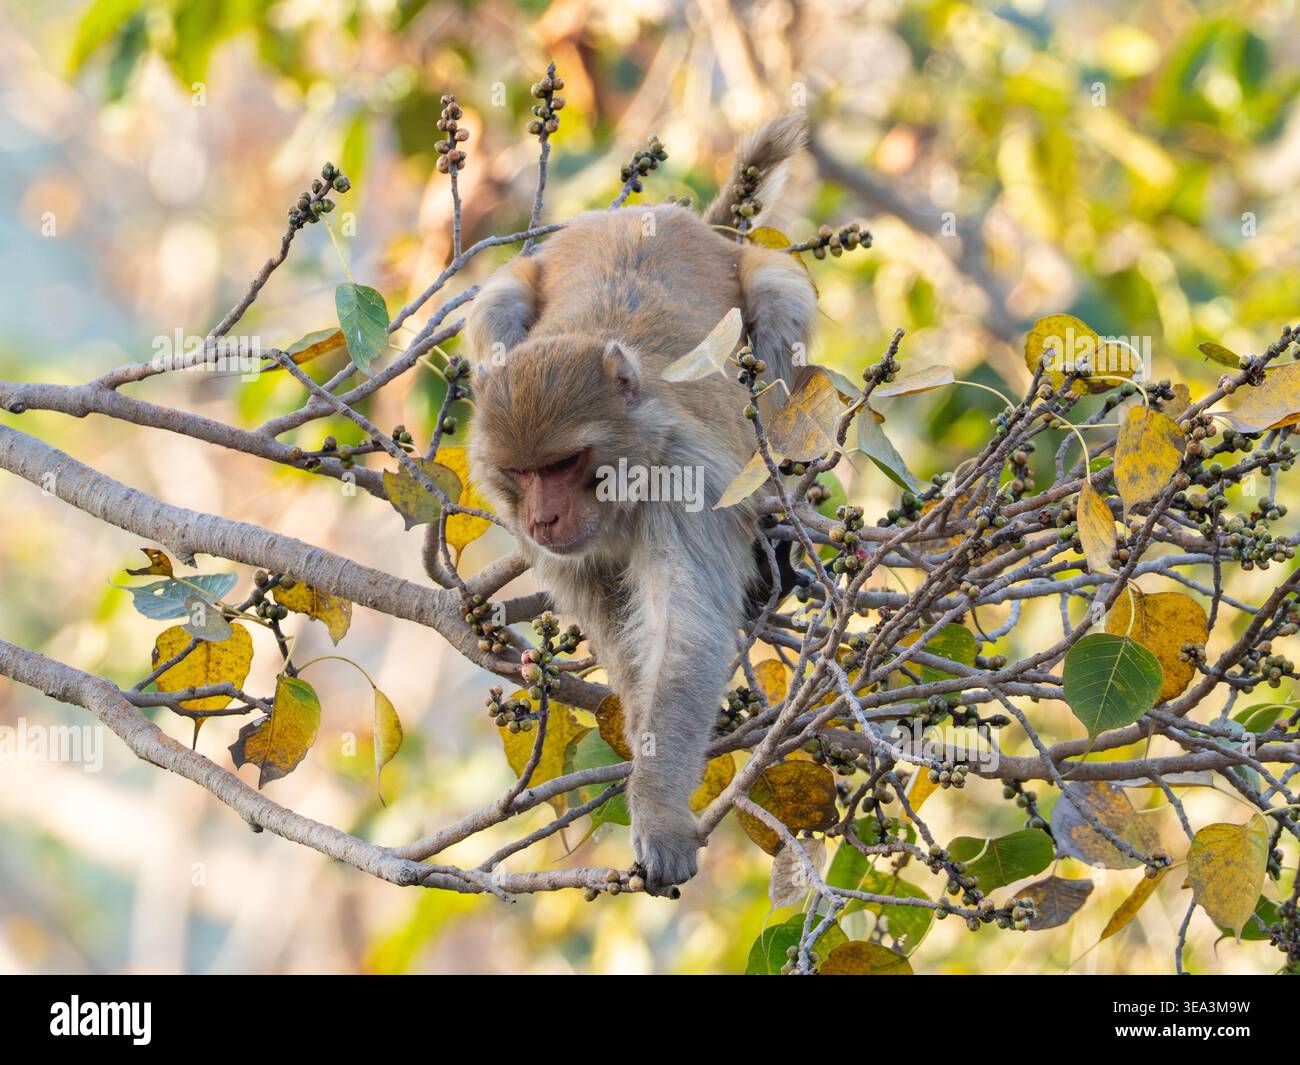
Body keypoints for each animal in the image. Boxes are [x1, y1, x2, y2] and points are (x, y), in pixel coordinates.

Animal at [436, 114, 817, 895]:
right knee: (496, 302)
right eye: (522, 473)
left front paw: (660, 807)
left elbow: (684, 629)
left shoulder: (688, 482)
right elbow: (620, 626)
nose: (543, 518)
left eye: (563, 464)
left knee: (779, 299)